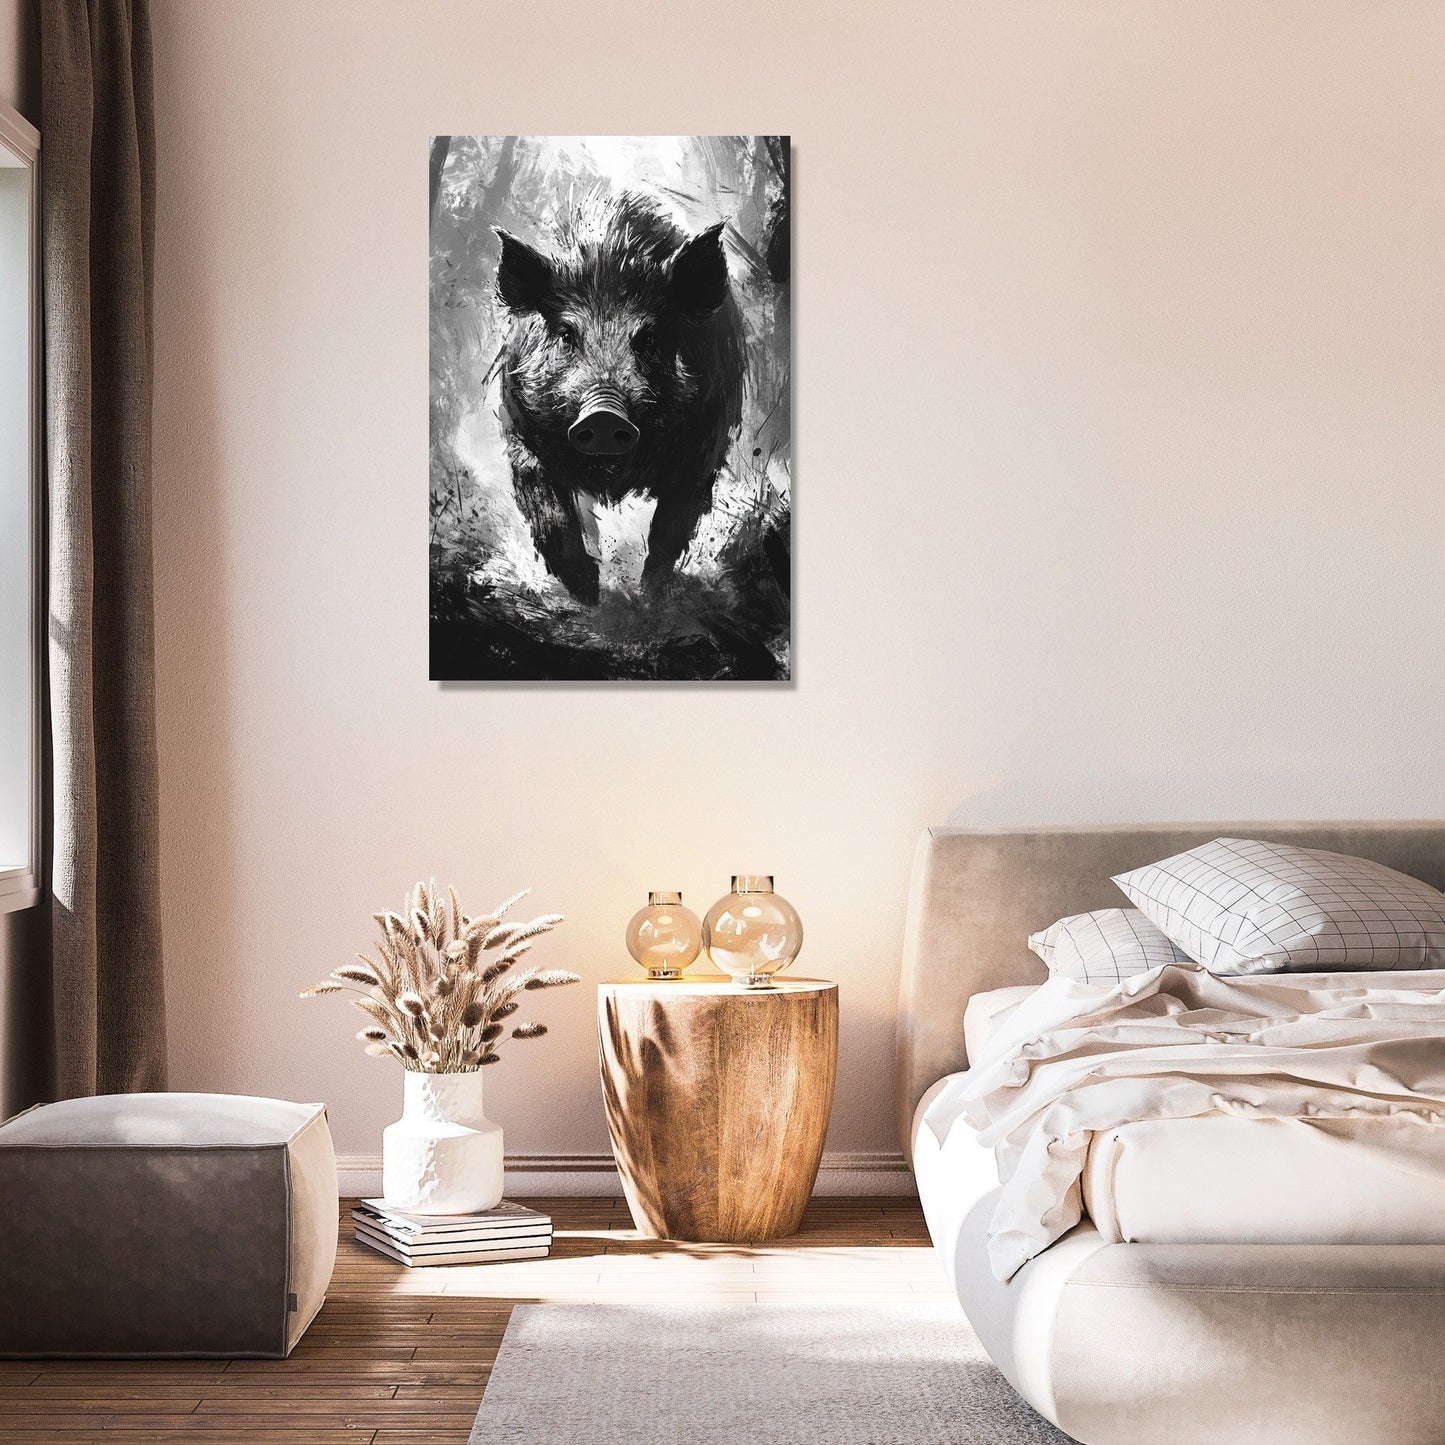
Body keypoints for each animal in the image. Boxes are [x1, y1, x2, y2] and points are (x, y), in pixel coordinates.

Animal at [492, 192, 746, 603]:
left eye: (649, 338)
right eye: (566, 335)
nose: (604, 416)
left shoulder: (706, 444)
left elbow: (669, 531)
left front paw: (648, 599)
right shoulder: (520, 432)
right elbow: (552, 519)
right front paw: (589, 598)